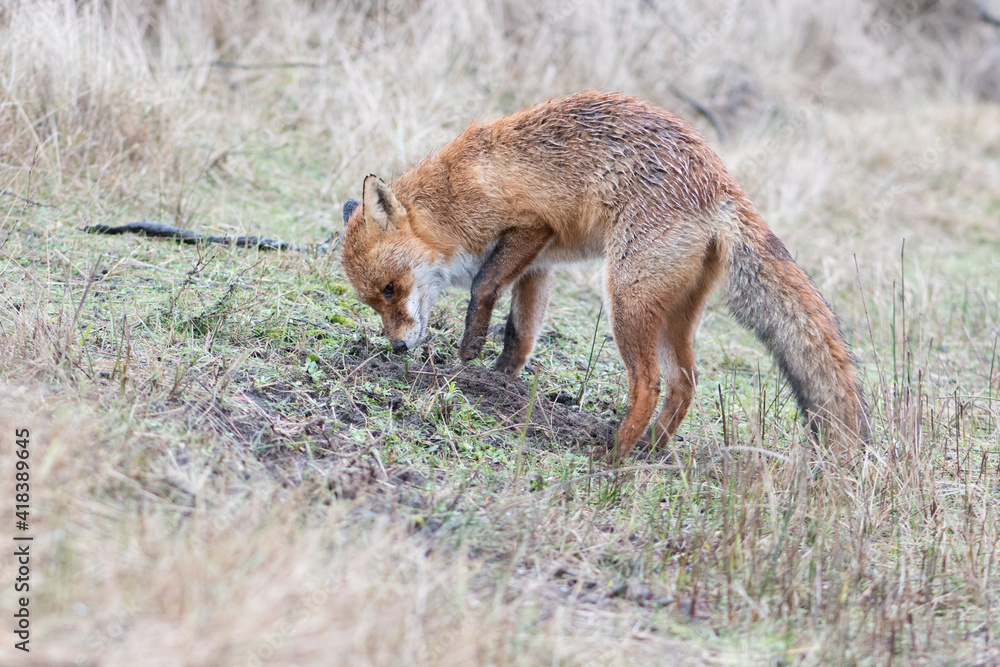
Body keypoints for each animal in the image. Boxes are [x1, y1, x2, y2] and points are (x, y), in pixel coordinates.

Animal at [340, 90, 871, 461]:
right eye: (374, 300)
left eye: (391, 289)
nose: (397, 349)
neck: (453, 198)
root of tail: (722, 185)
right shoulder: (539, 266)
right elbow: (519, 336)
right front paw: (498, 383)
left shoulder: (531, 227)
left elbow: (482, 288)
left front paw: (466, 360)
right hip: (673, 312)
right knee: (685, 382)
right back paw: (651, 449)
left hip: (625, 301)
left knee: (649, 383)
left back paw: (614, 454)